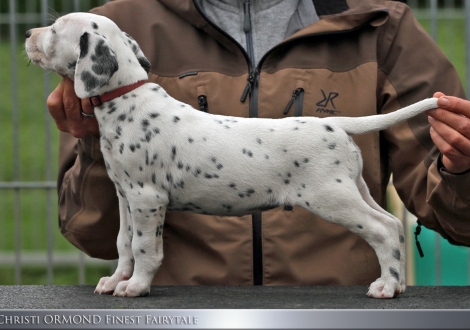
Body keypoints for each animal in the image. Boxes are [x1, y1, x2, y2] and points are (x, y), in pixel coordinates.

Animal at [24, 12, 436, 298]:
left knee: (383, 230)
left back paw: (387, 287)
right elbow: (124, 244)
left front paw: (137, 286)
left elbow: (144, 247)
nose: (28, 35)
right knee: (393, 223)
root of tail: (335, 124)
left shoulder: (147, 198)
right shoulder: (125, 196)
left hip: (332, 198)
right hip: (354, 188)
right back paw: (395, 283)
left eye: (55, 29)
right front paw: (115, 280)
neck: (127, 97)